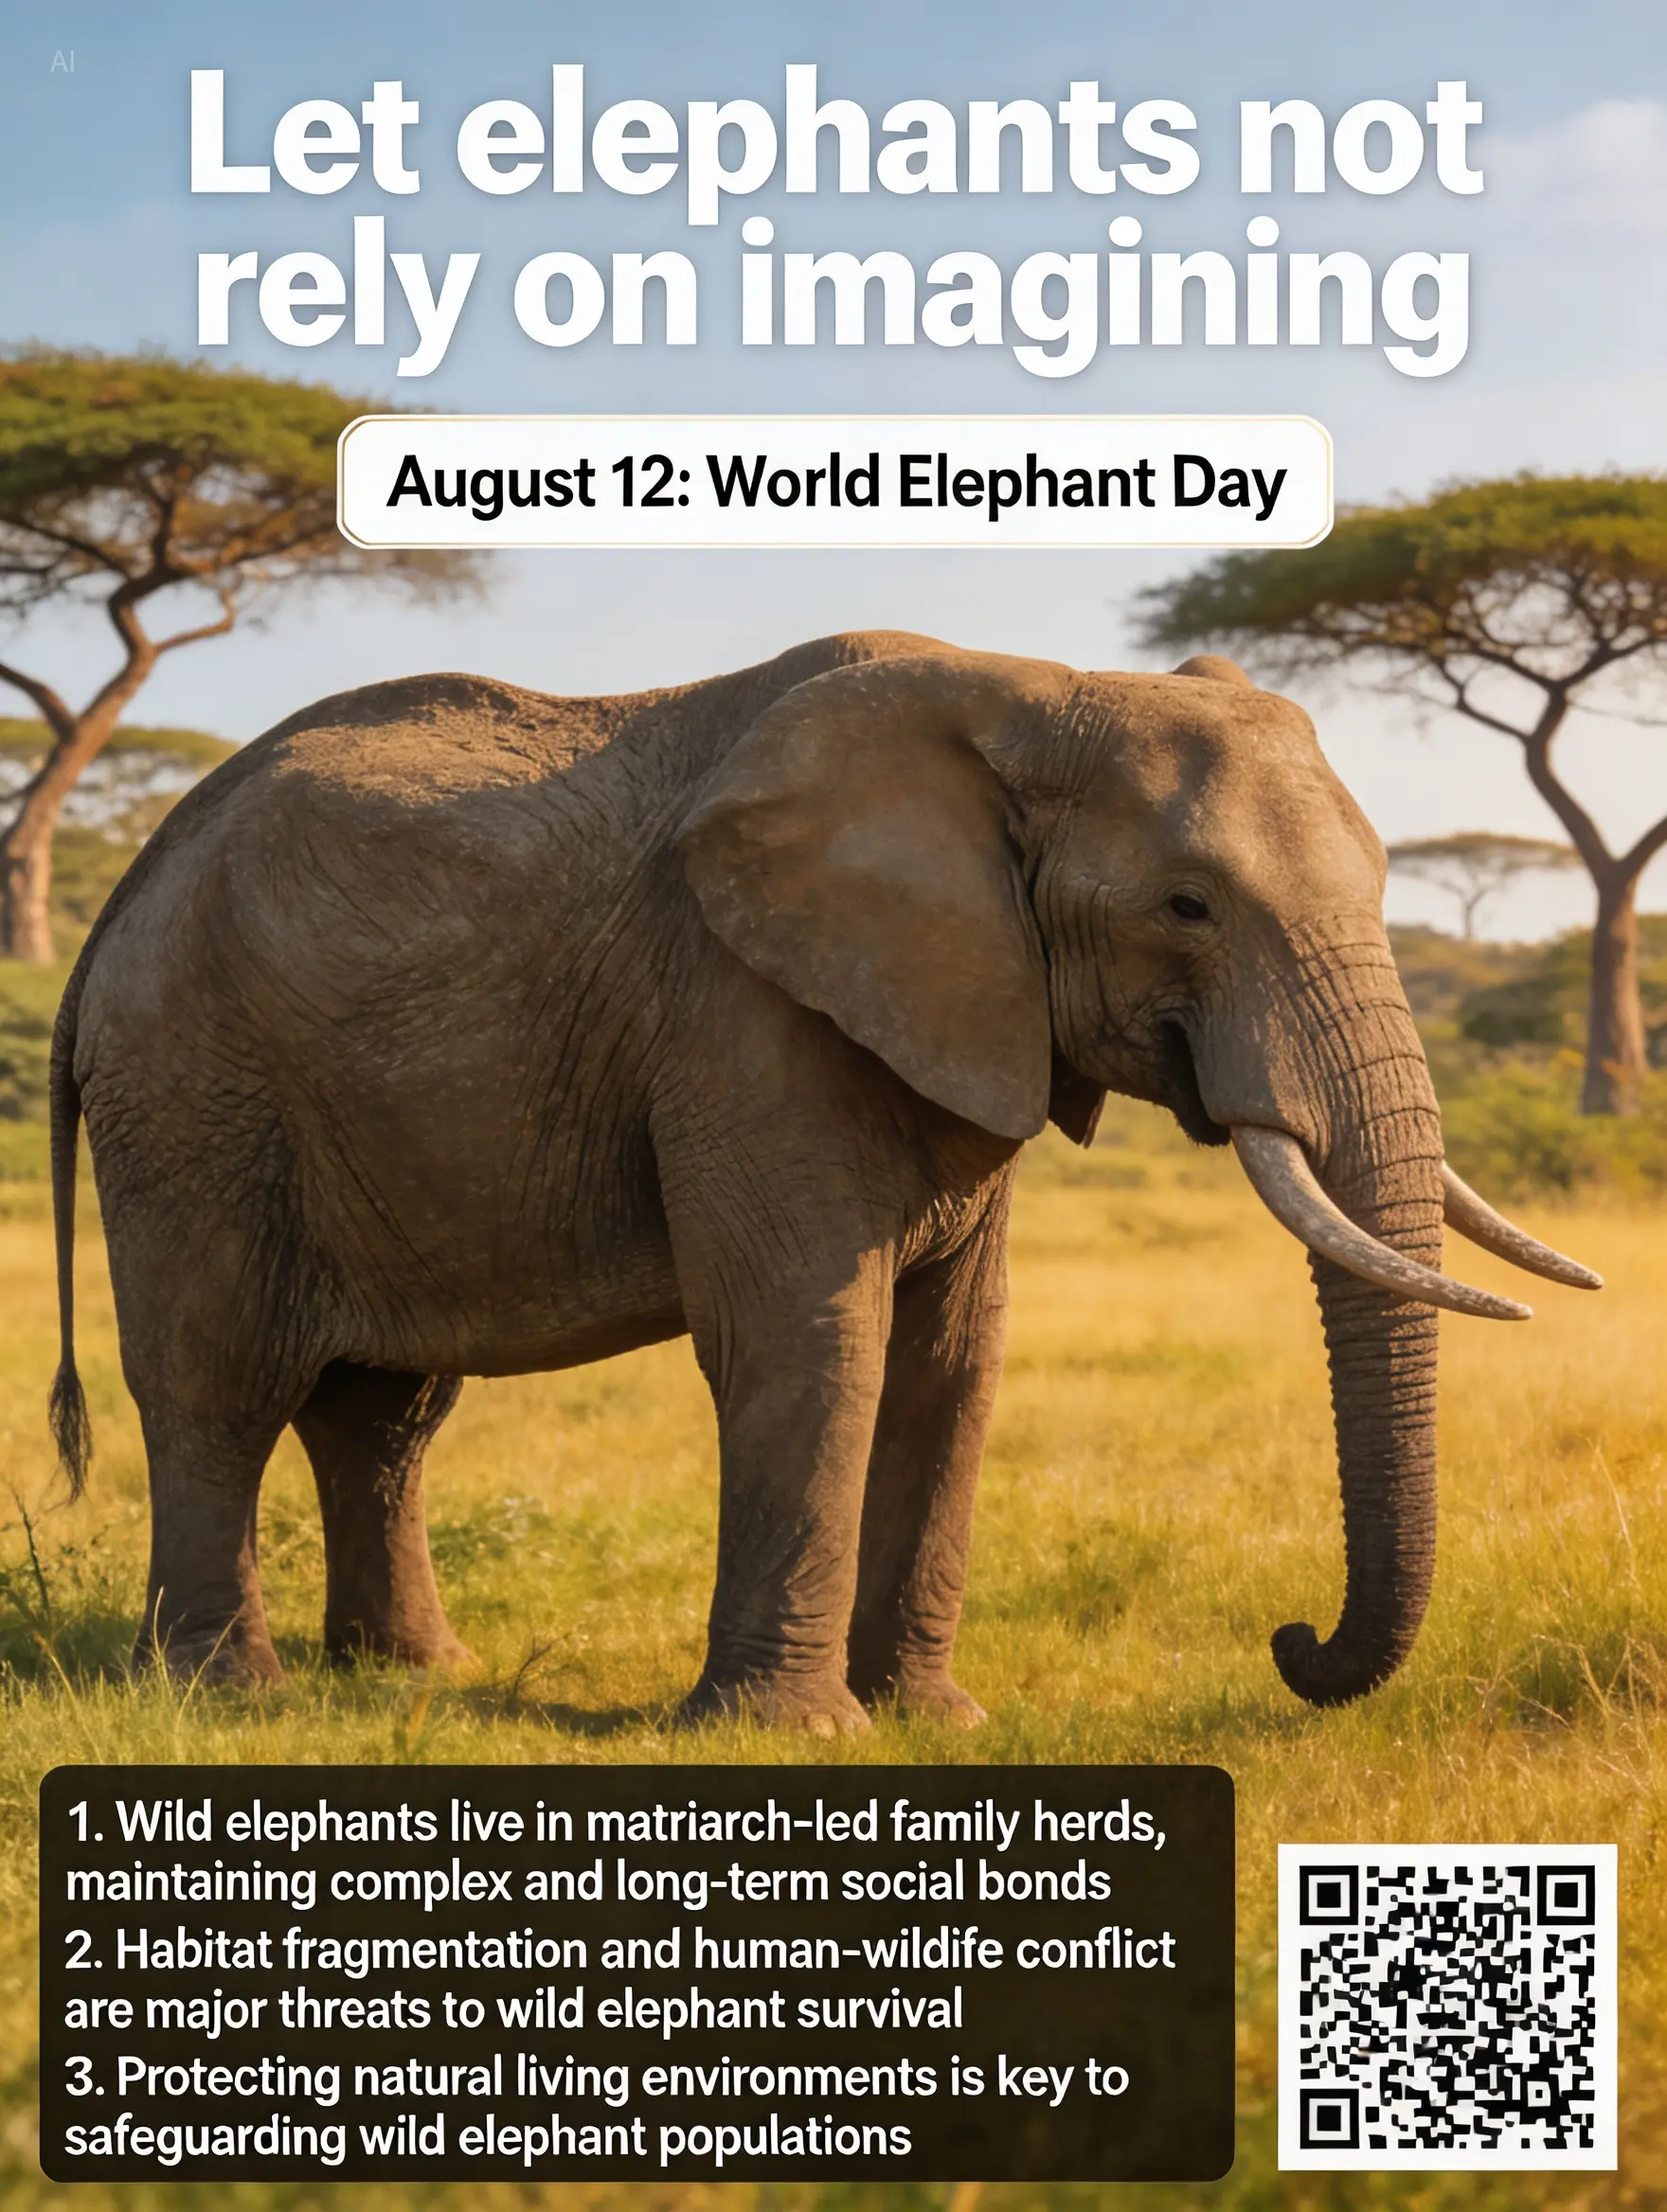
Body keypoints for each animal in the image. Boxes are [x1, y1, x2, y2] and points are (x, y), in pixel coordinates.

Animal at [46, 630, 1600, 1731]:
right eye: (1188, 906)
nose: (1289, 1640)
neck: (1032, 692)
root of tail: (122, 891)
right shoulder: (742, 1012)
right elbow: (811, 1339)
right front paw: (790, 1733)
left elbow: (953, 1360)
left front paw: (931, 1720)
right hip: (192, 1089)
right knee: (218, 1380)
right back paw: (225, 1694)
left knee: (384, 1413)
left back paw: (410, 1676)